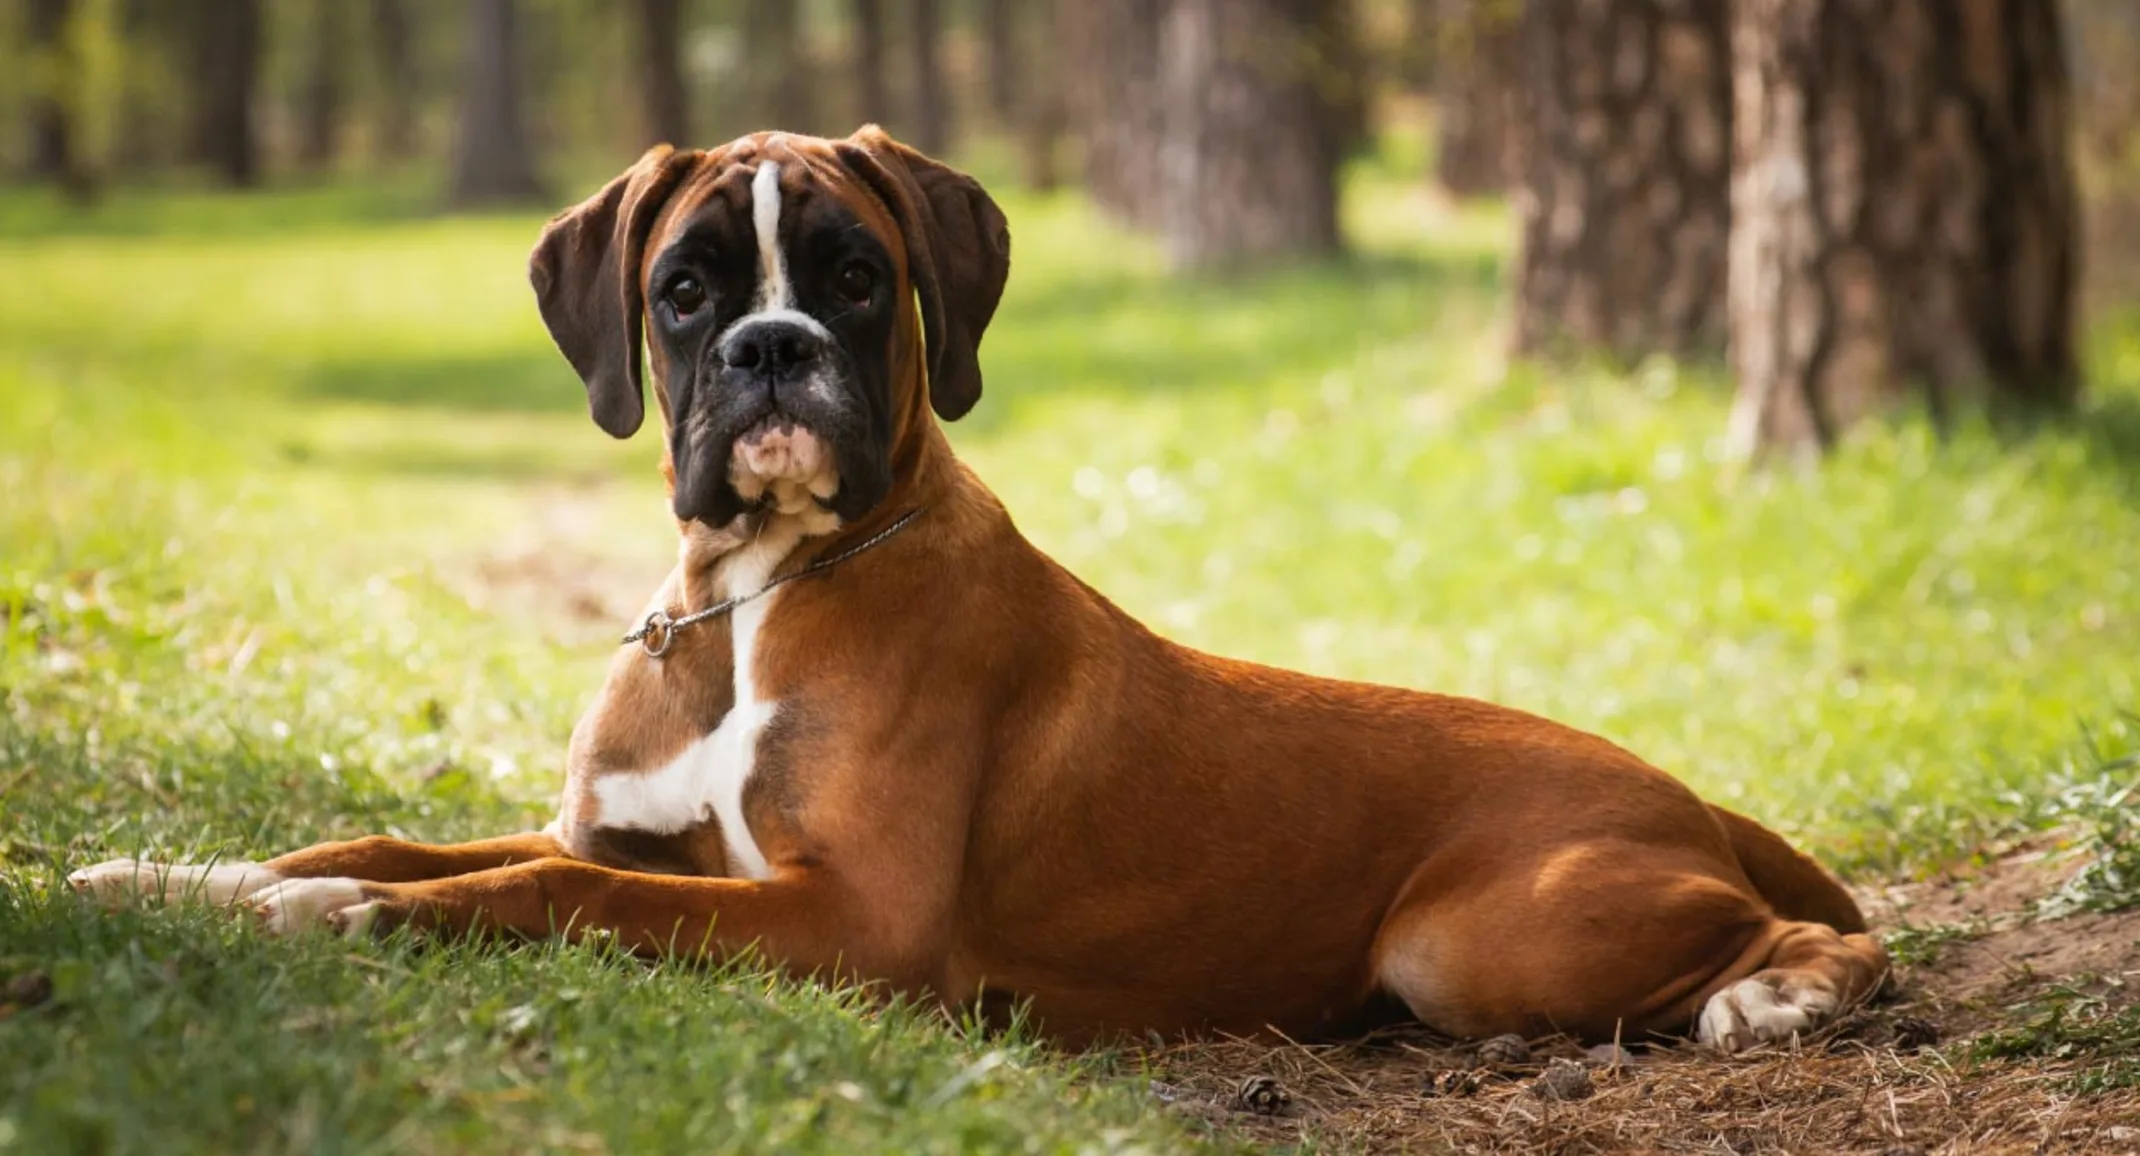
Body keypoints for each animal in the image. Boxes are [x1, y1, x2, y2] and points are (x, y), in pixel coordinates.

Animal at [75, 128, 1891, 1057]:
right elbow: (398, 841)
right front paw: (182, 878)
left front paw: (335, 919)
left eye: (858, 279)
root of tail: (1689, 795)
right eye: (685, 293)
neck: (750, 600)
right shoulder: (634, 837)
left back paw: (1782, 989)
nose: (771, 349)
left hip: (1479, 935)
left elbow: (537, 895)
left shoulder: (845, 921)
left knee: (1833, 937)